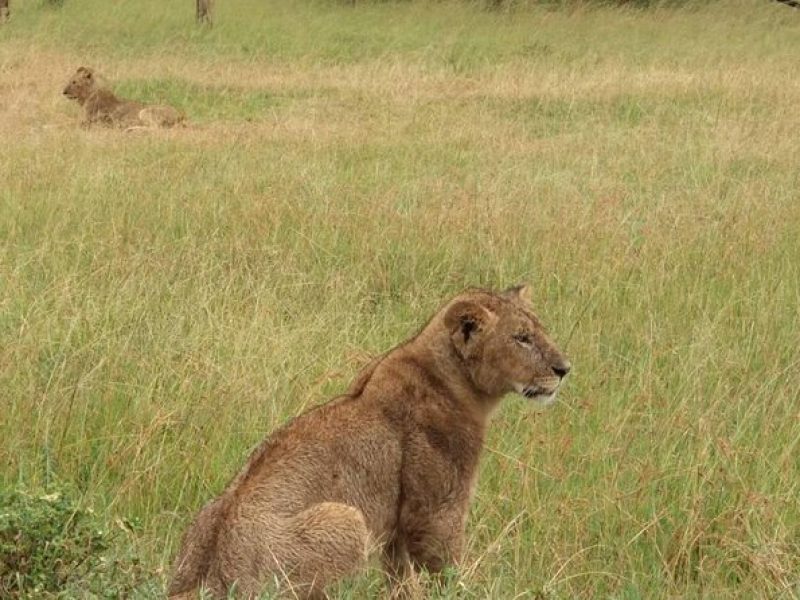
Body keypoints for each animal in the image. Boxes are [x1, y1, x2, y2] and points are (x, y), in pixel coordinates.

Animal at [169, 286, 572, 600]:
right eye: (521, 338)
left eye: (539, 330)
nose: (564, 369)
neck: (455, 380)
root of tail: (210, 580)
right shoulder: (435, 513)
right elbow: (444, 570)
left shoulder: (395, 530)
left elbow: (401, 581)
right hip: (347, 520)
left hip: (209, 512)